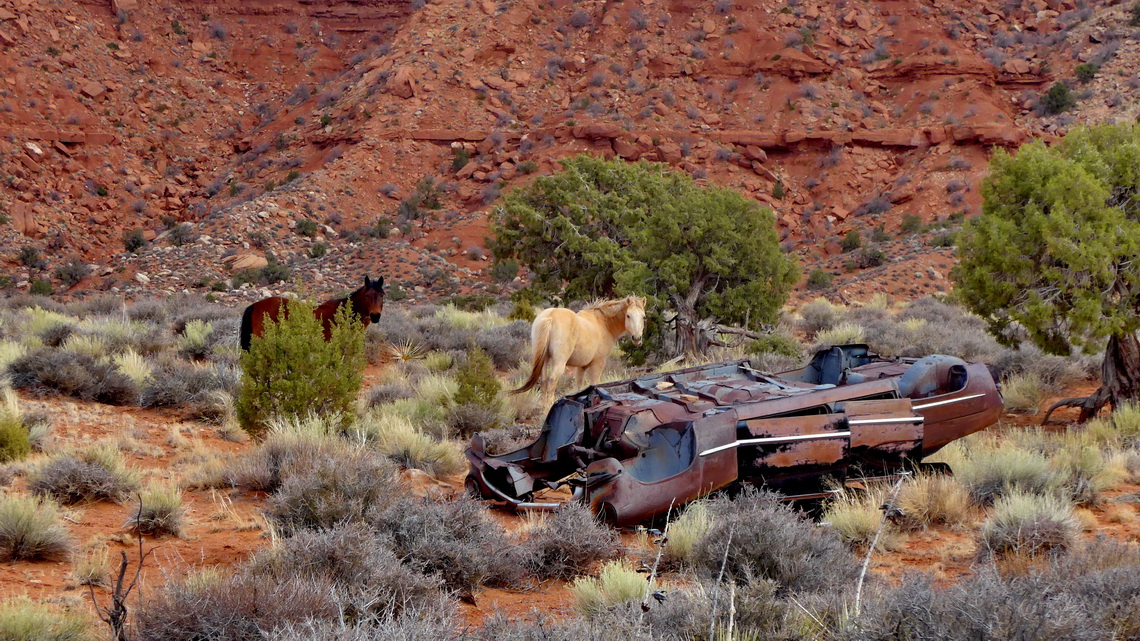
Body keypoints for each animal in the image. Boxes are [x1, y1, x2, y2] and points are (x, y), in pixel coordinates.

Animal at [513, 296, 647, 403]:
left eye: (643, 317)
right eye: (628, 316)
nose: (637, 338)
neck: (603, 324)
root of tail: (551, 316)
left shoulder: (581, 367)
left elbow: (579, 386)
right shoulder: (597, 364)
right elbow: (594, 384)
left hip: (544, 360)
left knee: (544, 382)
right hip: (559, 363)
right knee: (551, 382)